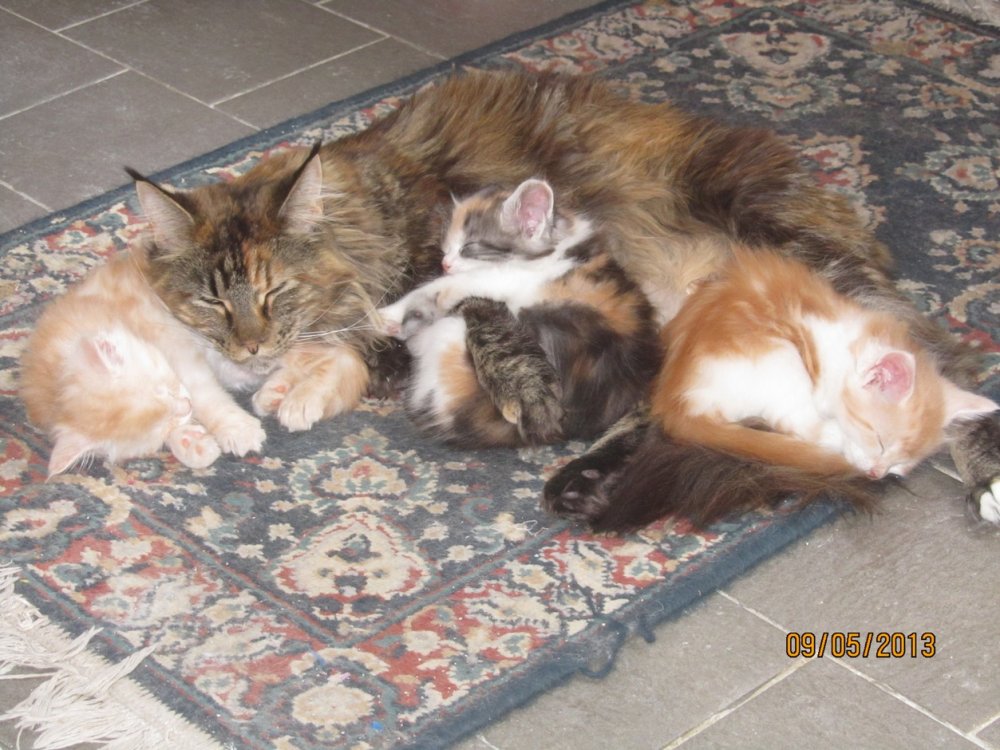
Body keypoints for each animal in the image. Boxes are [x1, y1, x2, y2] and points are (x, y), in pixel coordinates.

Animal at [20, 250, 266, 477]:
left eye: (164, 388)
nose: (185, 406)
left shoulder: (178, 347)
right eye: (161, 427)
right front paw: (191, 442)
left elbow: (205, 393)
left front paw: (238, 429)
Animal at [376, 178, 660, 446]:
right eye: (445, 248)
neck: (556, 251)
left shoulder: (505, 278)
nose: (445, 264)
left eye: (468, 246)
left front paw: (387, 315)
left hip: (454, 333)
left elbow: (443, 286)